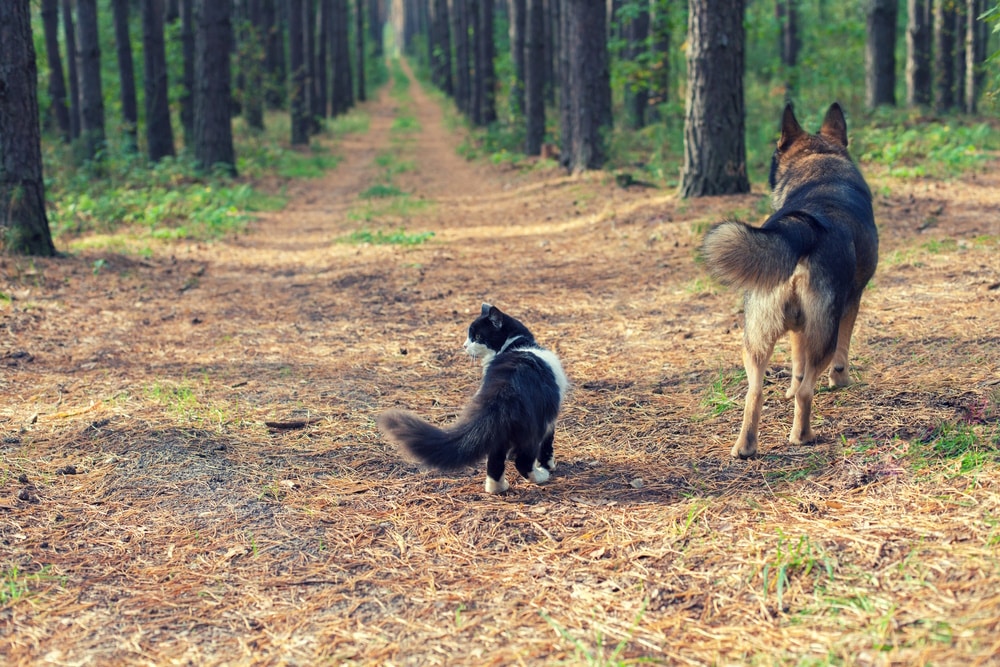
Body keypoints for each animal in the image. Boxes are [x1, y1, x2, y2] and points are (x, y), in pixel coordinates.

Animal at [380, 306, 572, 494]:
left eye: (478, 337)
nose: (464, 345)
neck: (515, 345)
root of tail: (504, 388)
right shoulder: (551, 418)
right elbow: (547, 446)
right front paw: (549, 465)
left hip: (499, 428)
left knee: (495, 460)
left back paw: (497, 488)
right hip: (534, 425)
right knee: (523, 460)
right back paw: (541, 476)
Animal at [704, 104, 876, 460]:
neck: (819, 164)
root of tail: (801, 229)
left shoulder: (798, 329)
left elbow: (795, 365)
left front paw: (788, 387)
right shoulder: (852, 302)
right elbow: (843, 349)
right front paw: (840, 380)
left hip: (755, 338)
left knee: (754, 393)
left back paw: (745, 447)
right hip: (822, 334)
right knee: (807, 391)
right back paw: (803, 435)